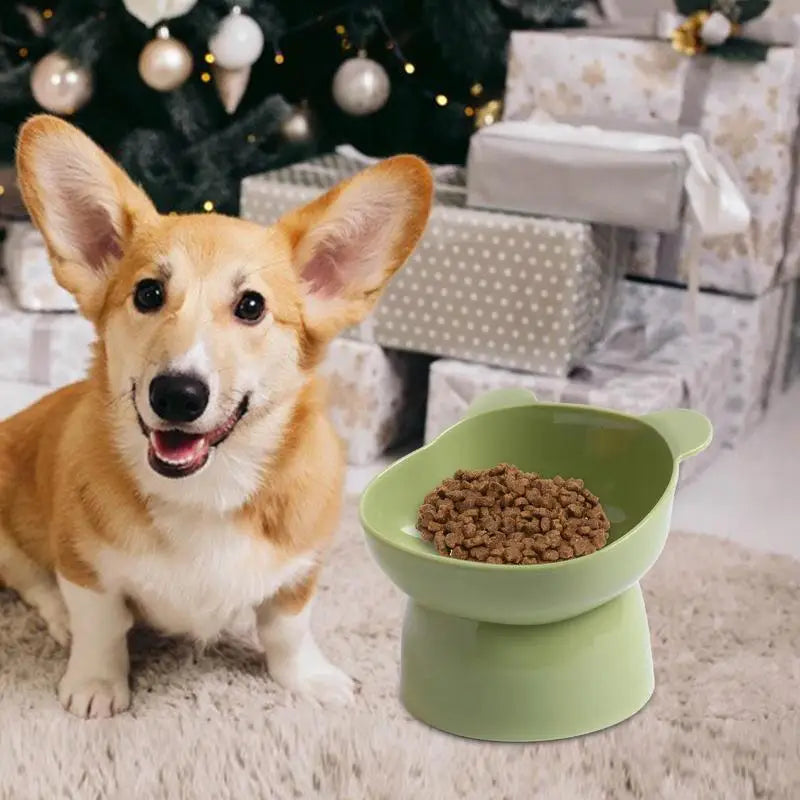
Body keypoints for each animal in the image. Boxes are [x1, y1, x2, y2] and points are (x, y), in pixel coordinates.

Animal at [0, 114, 434, 720]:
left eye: (251, 305)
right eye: (148, 293)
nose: (177, 395)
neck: (204, 492)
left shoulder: (301, 568)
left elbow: (288, 629)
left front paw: (308, 680)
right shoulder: (84, 566)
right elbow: (101, 626)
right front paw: (96, 685)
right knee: (34, 582)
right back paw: (59, 620)